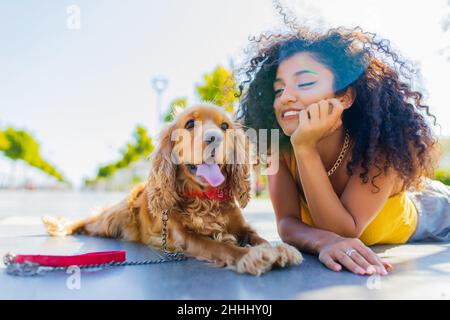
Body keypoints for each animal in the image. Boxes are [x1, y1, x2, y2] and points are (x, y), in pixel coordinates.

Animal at [43, 103, 302, 276]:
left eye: (225, 126)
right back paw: (63, 227)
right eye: (190, 124)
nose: (214, 138)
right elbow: (219, 246)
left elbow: (257, 236)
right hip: (111, 219)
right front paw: (251, 255)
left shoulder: (240, 226)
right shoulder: (185, 236)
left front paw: (278, 248)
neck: (204, 198)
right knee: (89, 221)